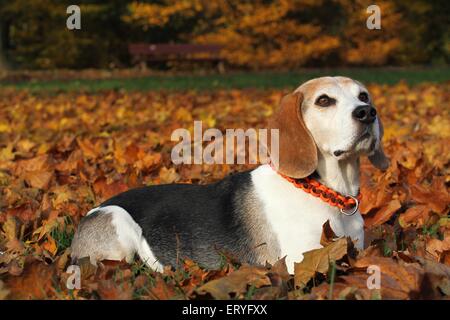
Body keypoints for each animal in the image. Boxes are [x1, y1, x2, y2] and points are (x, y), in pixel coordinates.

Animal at [70, 77, 386, 272]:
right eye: (324, 100)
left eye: (363, 95)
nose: (367, 111)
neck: (324, 191)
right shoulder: (301, 259)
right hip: (118, 224)